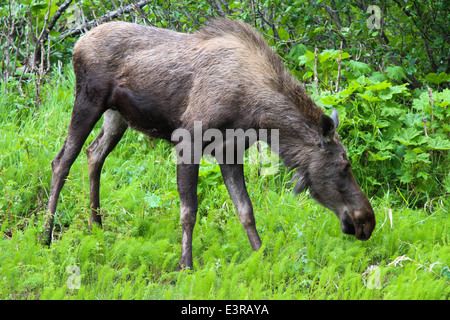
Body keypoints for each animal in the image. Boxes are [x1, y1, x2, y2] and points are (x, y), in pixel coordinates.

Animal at [42, 18, 374, 268]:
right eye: (345, 165)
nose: (367, 221)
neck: (258, 114)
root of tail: (77, 43)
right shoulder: (188, 140)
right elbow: (189, 211)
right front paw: (186, 265)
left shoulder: (231, 151)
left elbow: (246, 210)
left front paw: (262, 256)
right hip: (88, 99)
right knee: (62, 161)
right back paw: (46, 235)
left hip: (117, 114)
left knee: (94, 154)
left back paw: (96, 226)